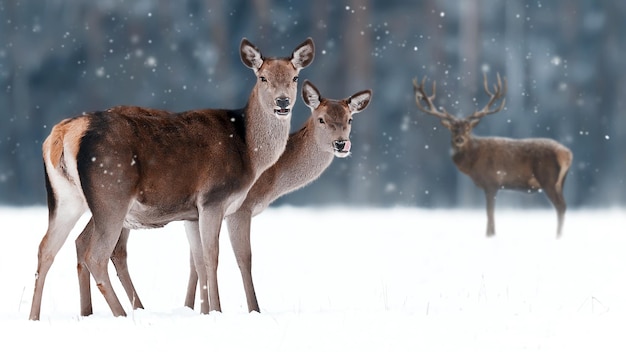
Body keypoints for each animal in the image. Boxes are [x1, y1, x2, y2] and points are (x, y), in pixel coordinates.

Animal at [28, 37, 312, 320]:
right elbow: (213, 256)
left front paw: (206, 311)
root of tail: (64, 133)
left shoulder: (192, 214)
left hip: (67, 198)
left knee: (47, 247)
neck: (249, 152)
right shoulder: (214, 199)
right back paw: (122, 314)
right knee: (95, 254)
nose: (283, 102)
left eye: (295, 77)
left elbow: (199, 260)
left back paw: (36, 316)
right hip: (112, 195)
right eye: (262, 77)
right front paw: (218, 310)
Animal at [78, 79, 370, 314]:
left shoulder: (196, 213)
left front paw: (195, 308)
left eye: (350, 119)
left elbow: (195, 261)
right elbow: (242, 258)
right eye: (321, 119)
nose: (342, 144)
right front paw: (250, 310)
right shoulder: (239, 208)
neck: (272, 178)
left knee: (86, 242)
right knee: (110, 248)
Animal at [412, 72, 572, 236]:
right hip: (561, 182)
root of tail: (567, 154)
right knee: (564, 206)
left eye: (468, 128)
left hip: (548, 179)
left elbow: (490, 217)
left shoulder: (491, 182)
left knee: (561, 207)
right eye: (453, 128)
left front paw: (490, 235)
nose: (459, 139)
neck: (472, 163)